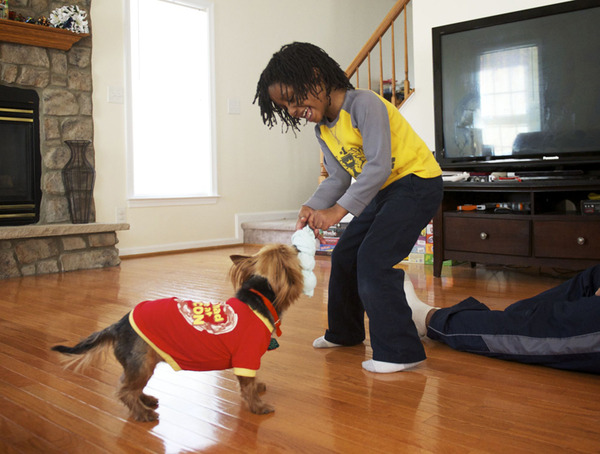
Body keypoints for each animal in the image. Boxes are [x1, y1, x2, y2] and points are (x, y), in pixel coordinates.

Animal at [51, 245, 304, 422]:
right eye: (285, 250)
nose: (297, 246)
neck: (257, 297)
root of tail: (117, 325)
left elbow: (250, 381)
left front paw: (258, 388)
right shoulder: (246, 356)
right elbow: (248, 386)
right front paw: (259, 407)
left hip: (142, 364)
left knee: (129, 384)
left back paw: (146, 400)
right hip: (143, 364)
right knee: (124, 390)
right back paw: (143, 413)